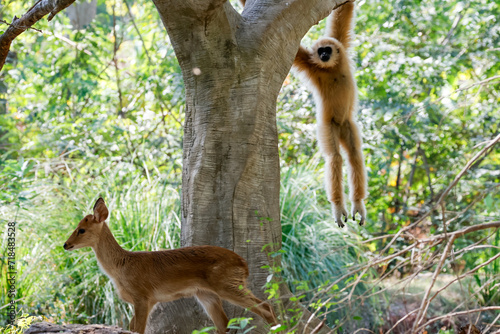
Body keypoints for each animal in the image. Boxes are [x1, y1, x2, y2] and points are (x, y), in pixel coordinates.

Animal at [62, 198, 278, 334]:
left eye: (81, 229)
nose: (65, 244)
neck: (120, 268)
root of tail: (244, 264)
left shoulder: (143, 297)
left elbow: (138, 330)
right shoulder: (144, 301)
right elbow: (131, 329)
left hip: (227, 284)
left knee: (265, 307)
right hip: (206, 294)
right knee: (224, 325)